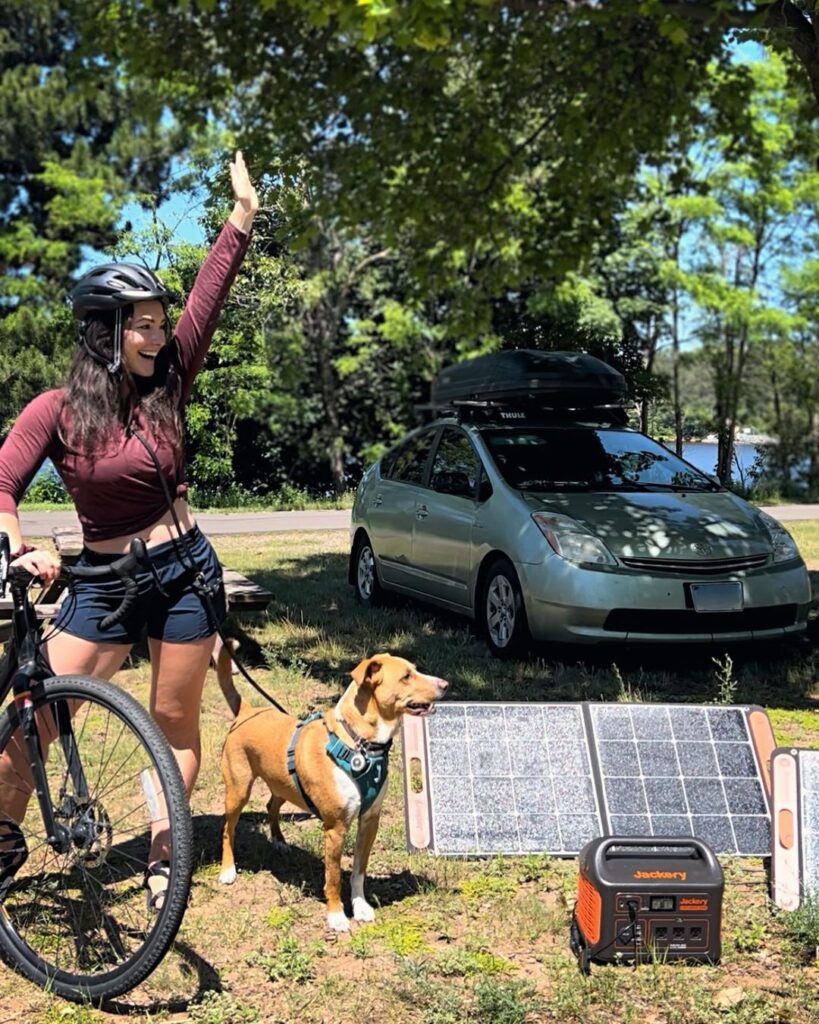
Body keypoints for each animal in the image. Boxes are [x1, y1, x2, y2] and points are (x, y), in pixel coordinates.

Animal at [216, 651, 448, 933]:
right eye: (406, 676)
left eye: (414, 670)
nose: (446, 685)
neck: (360, 745)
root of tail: (247, 710)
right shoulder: (336, 828)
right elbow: (334, 877)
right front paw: (336, 916)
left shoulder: (370, 820)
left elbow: (359, 871)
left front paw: (360, 907)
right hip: (238, 790)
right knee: (227, 829)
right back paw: (228, 870)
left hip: (283, 784)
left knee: (271, 806)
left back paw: (279, 841)